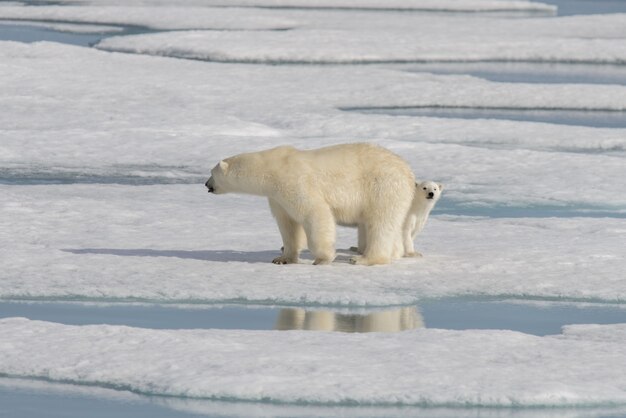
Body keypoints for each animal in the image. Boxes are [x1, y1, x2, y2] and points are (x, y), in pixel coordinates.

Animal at [205, 142, 414, 266]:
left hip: (382, 186)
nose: (206, 184)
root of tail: (407, 170)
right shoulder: (276, 196)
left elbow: (314, 213)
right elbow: (288, 224)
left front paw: (322, 258)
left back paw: (363, 258)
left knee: (380, 223)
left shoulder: (293, 181)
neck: (271, 168)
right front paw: (282, 258)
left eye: (211, 173)